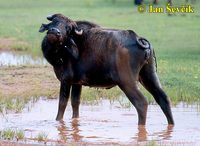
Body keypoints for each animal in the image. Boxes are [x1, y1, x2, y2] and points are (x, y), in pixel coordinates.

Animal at [38, 13, 173, 125]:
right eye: (54, 22)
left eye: (68, 28)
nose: (54, 32)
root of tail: (137, 38)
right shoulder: (77, 83)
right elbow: (75, 102)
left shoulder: (65, 79)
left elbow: (62, 103)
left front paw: (57, 121)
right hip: (149, 76)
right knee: (163, 99)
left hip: (127, 82)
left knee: (141, 103)